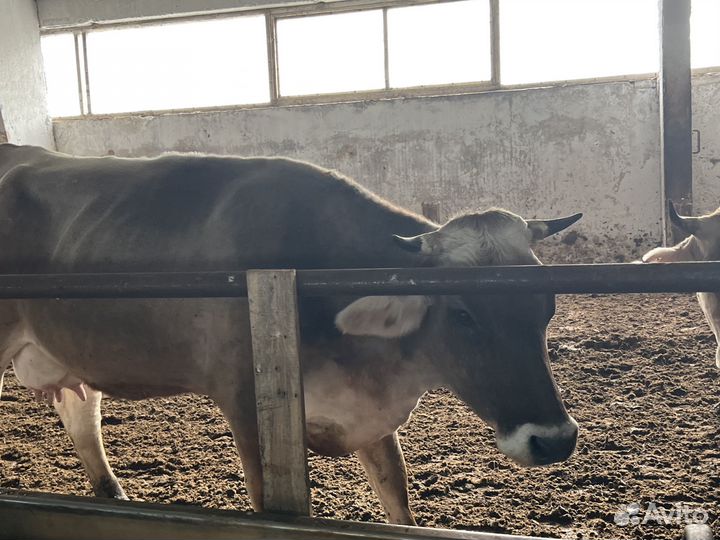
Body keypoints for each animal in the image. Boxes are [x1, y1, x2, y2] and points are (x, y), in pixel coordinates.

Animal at [0, 143, 581, 525]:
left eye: (547, 304)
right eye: (462, 313)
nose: (554, 440)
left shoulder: (370, 415)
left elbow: (398, 502)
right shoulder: (247, 408)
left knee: (81, 416)